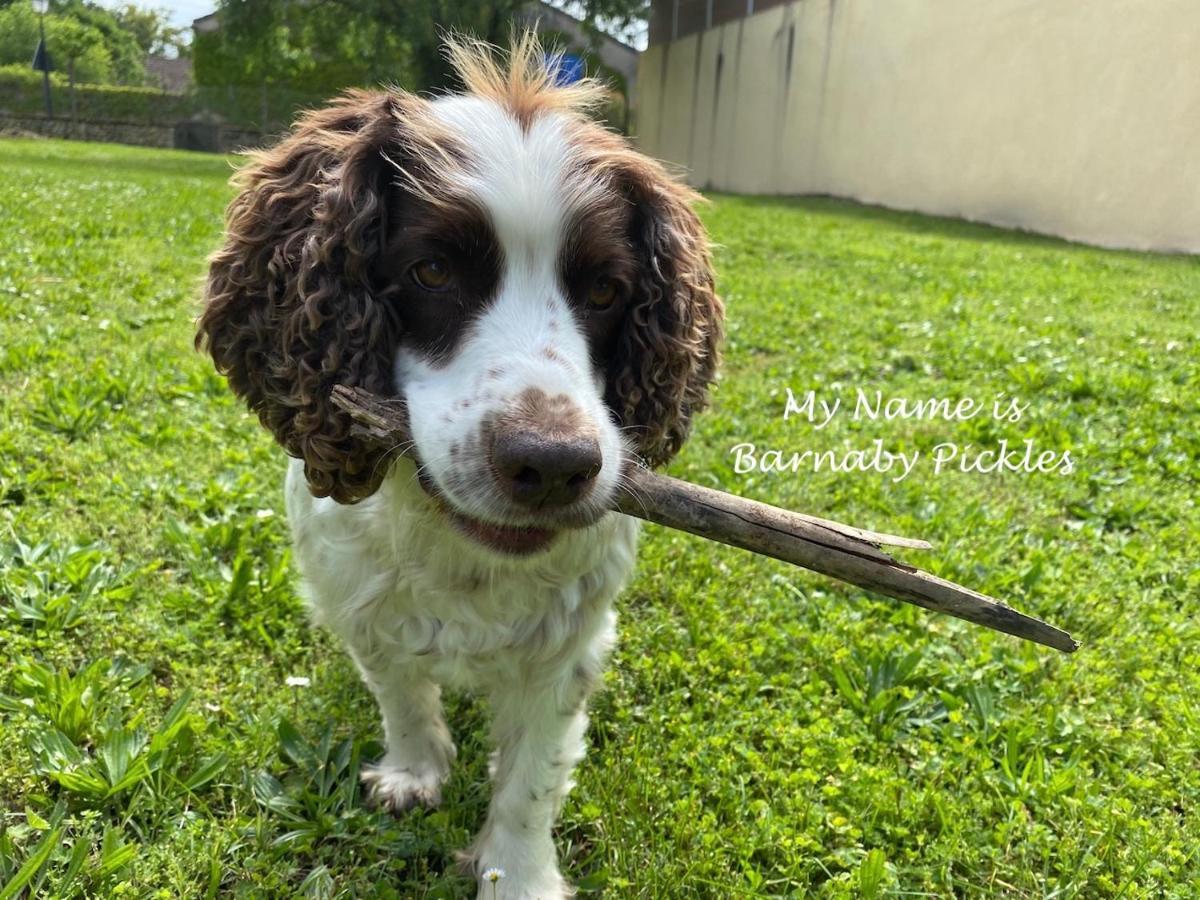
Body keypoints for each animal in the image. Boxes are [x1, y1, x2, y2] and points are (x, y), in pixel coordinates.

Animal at [196, 37, 720, 900]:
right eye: (432, 273)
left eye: (608, 290)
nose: (554, 466)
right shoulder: (357, 598)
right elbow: (401, 691)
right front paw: (414, 771)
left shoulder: (569, 641)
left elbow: (533, 776)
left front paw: (520, 873)